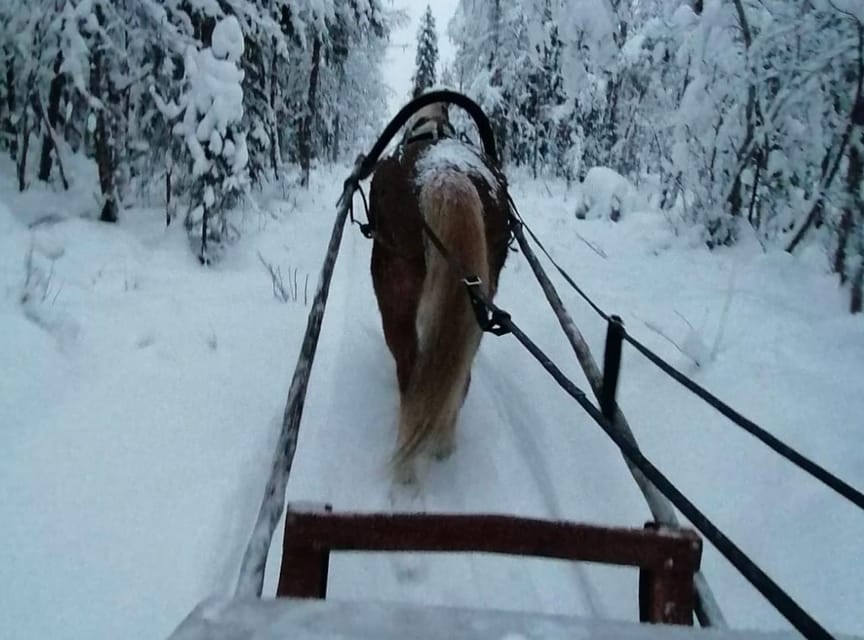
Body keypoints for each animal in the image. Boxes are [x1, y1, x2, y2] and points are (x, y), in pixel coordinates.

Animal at [367, 103, 511, 483]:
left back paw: (406, 468)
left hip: (397, 301)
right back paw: (443, 446)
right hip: (477, 305)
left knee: (410, 375)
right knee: (460, 378)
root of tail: (444, 170)